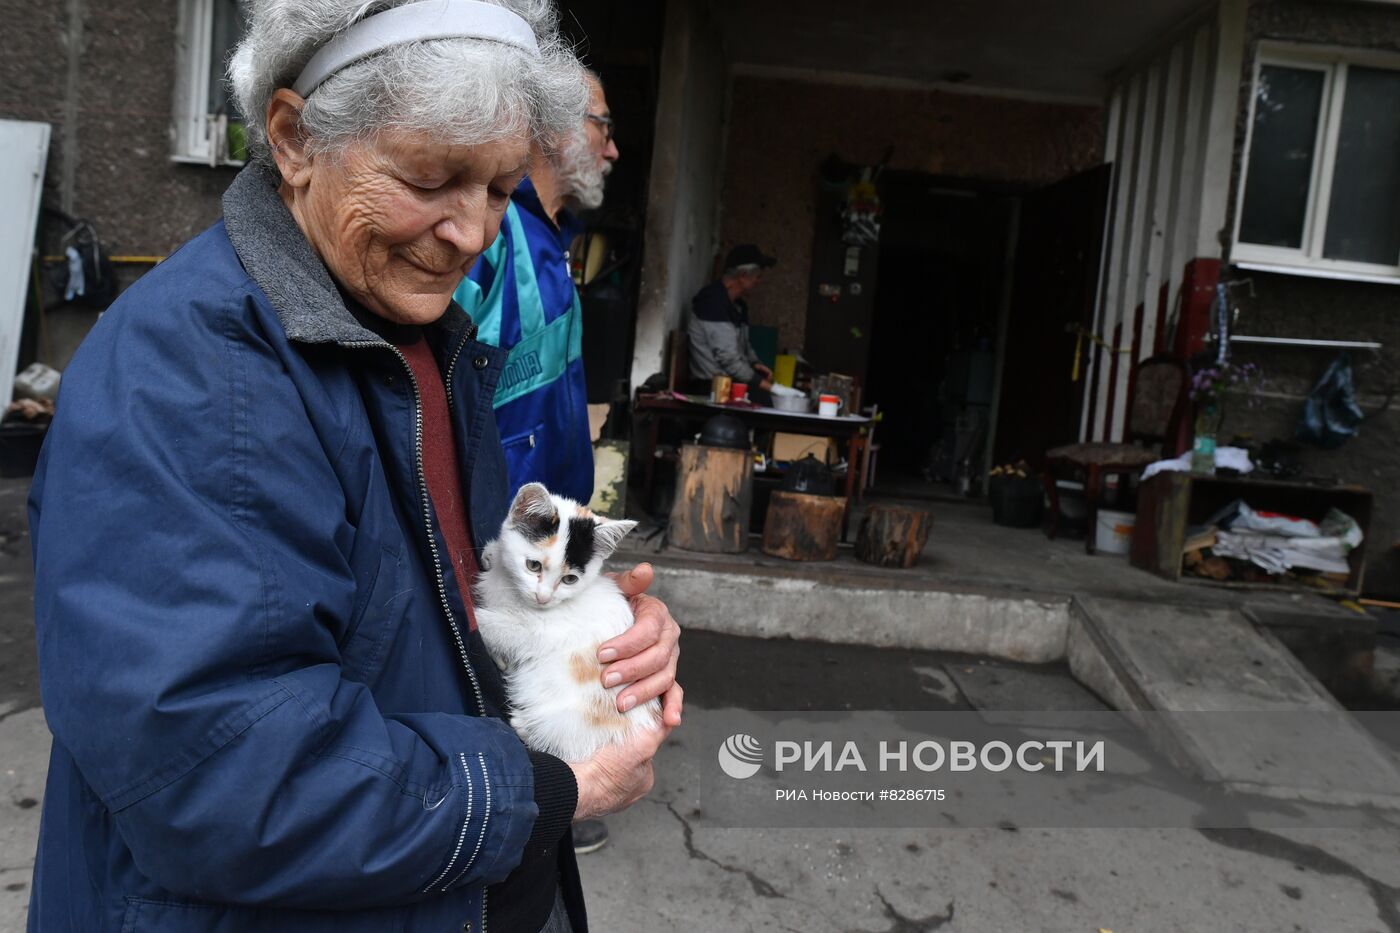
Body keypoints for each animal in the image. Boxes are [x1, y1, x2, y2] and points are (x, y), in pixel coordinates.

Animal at [476, 481, 660, 762]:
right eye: (533, 566)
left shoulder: (544, 633)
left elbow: (503, 628)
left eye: (570, 579)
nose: (543, 597)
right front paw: (493, 553)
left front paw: (477, 619)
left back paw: (526, 726)